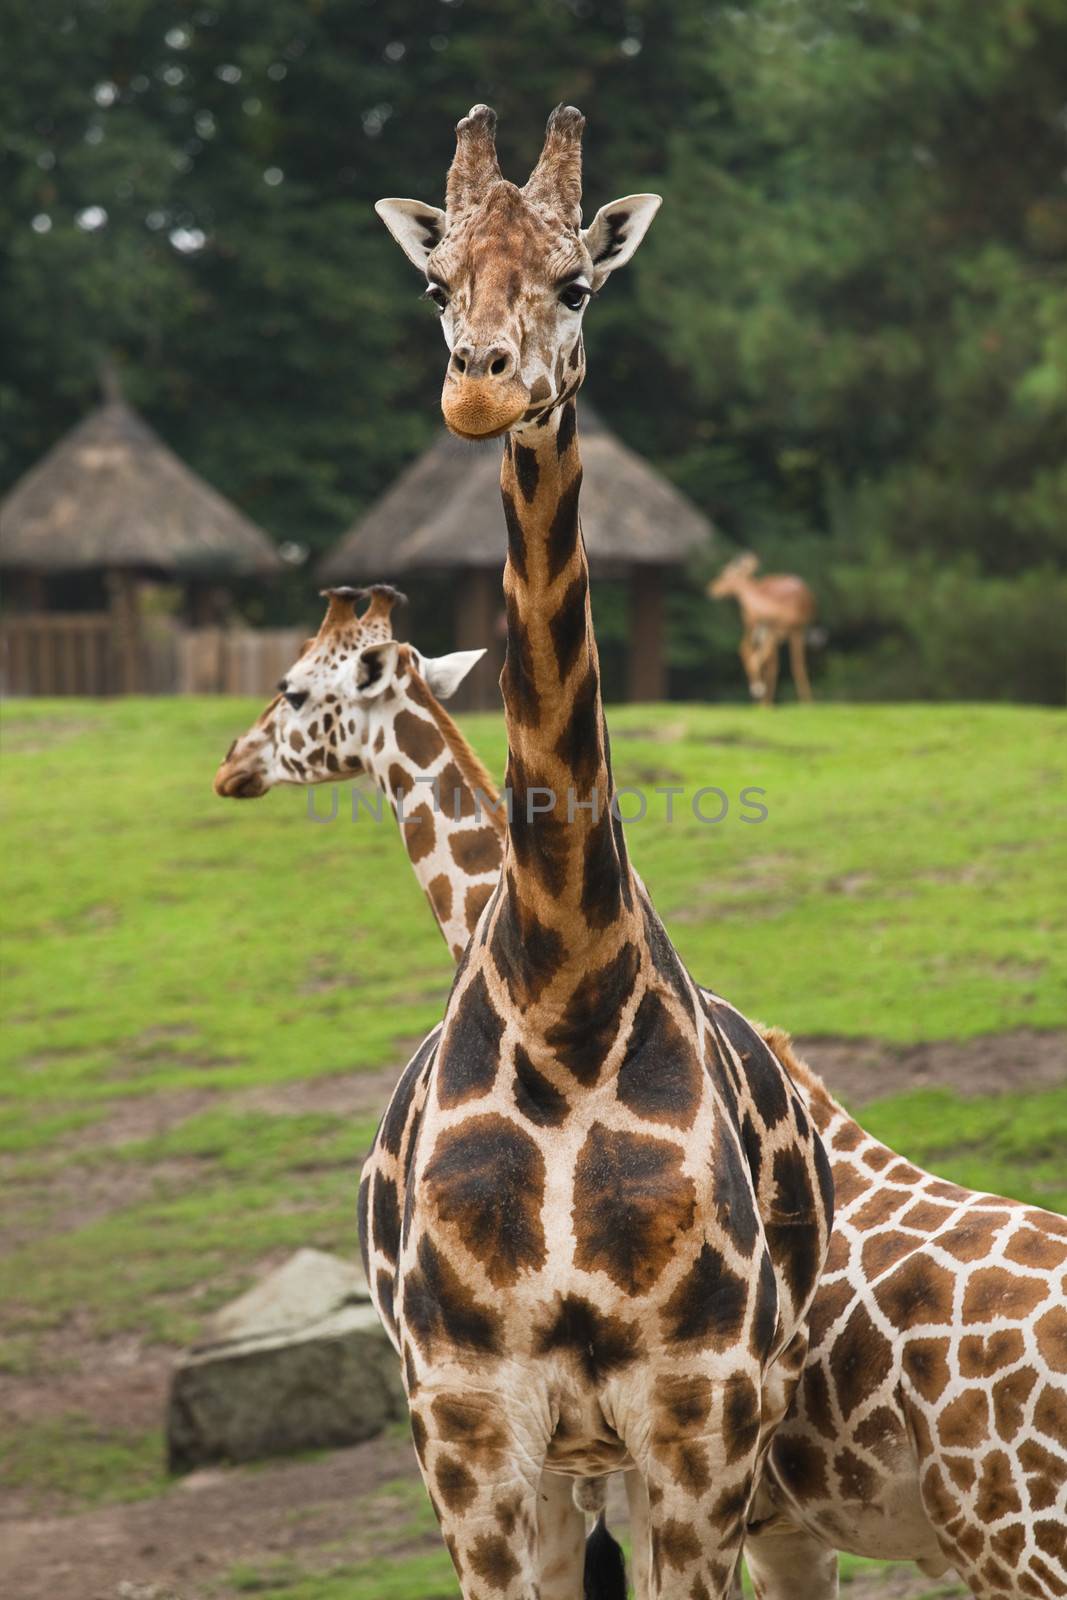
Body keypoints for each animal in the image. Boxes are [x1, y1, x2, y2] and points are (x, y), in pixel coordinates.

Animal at [710, 553, 819, 704]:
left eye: (725, 574)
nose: (712, 589)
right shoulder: (770, 631)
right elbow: (769, 664)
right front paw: (759, 692)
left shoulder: (795, 631)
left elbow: (797, 666)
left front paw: (807, 703)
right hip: (757, 629)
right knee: (747, 649)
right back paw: (761, 697)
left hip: (766, 632)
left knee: (757, 655)